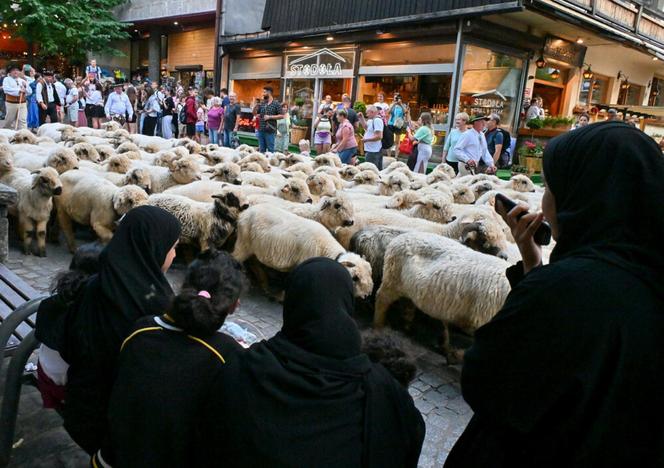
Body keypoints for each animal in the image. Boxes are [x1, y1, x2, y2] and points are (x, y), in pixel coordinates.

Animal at [232, 205, 374, 296]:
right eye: (355, 278)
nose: (367, 294)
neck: (325, 249)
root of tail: (244, 213)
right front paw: (282, 297)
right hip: (244, 242)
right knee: (235, 257)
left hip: (254, 247)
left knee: (254, 262)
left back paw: (264, 284)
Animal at [374, 232, 508, 360]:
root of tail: (401, 237)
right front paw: (455, 355)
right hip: (392, 279)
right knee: (381, 300)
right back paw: (379, 326)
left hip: (408, 288)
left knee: (408, 305)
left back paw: (408, 326)